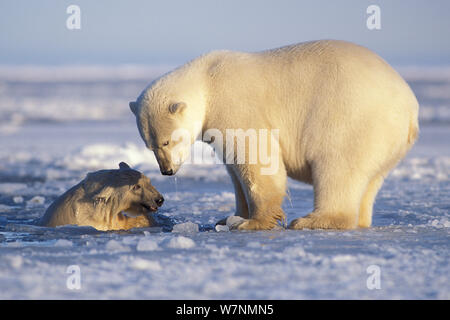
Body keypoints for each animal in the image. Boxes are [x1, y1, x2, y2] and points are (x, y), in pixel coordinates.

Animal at [129, 39, 418, 230]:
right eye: (150, 145)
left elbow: (257, 155)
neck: (206, 79)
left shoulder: (236, 102)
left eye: (167, 140)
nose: (167, 171)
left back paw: (312, 220)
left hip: (352, 117)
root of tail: (410, 107)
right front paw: (229, 217)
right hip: (385, 142)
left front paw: (253, 222)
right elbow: (234, 168)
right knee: (369, 181)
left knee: (337, 166)